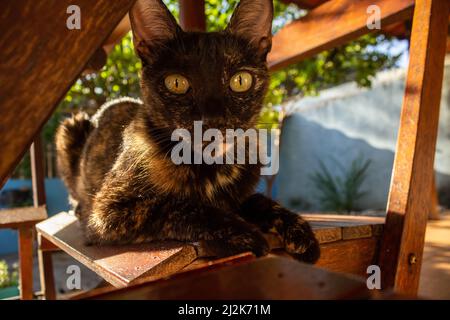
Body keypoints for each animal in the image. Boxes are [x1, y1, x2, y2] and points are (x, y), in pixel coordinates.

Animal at [55, 0, 320, 262]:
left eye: (240, 80)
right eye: (176, 83)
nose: (214, 120)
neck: (212, 168)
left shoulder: (240, 197)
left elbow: (261, 201)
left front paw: (299, 230)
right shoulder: (108, 212)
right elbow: (179, 207)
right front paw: (248, 234)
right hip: (70, 127)